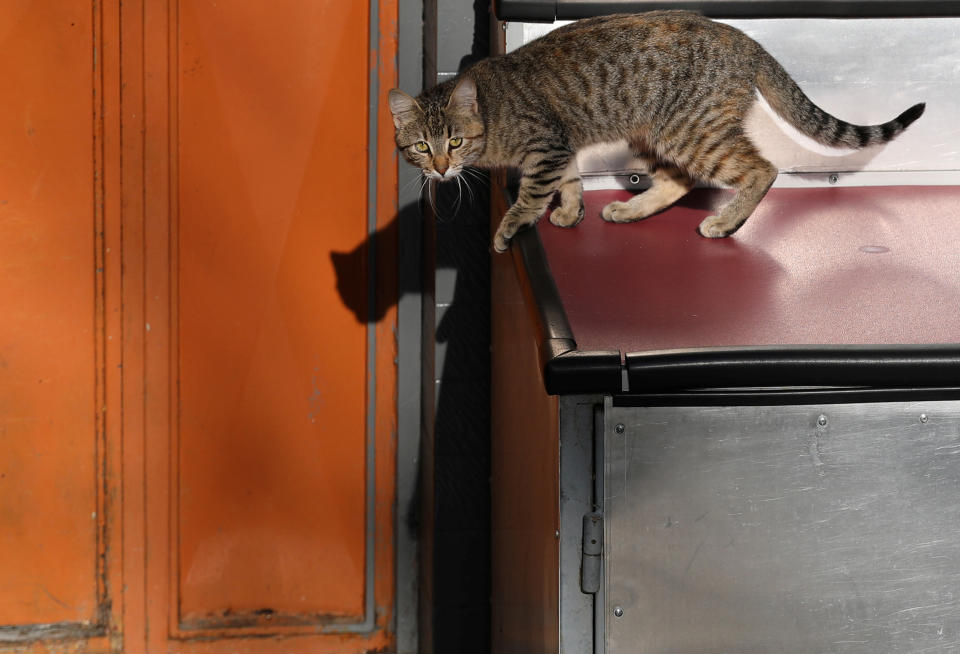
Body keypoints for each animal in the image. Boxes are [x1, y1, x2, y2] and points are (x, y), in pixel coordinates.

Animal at [388, 13, 924, 254]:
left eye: (455, 142)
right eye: (422, 146)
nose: (440, 168)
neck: (494, 108)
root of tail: (747, 41)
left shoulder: (546, 146)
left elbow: (532, 194)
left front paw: (510, 227)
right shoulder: (562, 146)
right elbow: (570, 182)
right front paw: (570, 212)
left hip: (689, 131)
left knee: (762, 168)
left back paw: (726, 222)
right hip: (656, 133)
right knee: (678, 180)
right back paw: (631, 209)